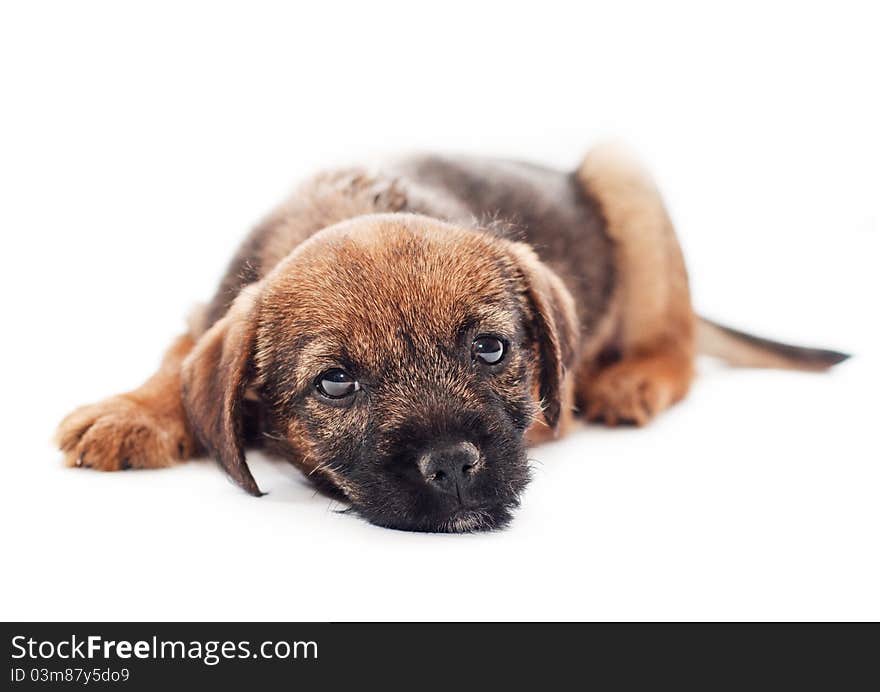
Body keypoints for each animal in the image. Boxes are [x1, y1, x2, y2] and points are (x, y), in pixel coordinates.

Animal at [53, 146, 844, 532]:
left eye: (490, 349)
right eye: (335, 382)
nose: (455, 465)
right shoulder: (206, 313)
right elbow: (179, 362)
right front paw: (132, 410)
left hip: (626, 182)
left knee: (677, 344)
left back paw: (631, 378)